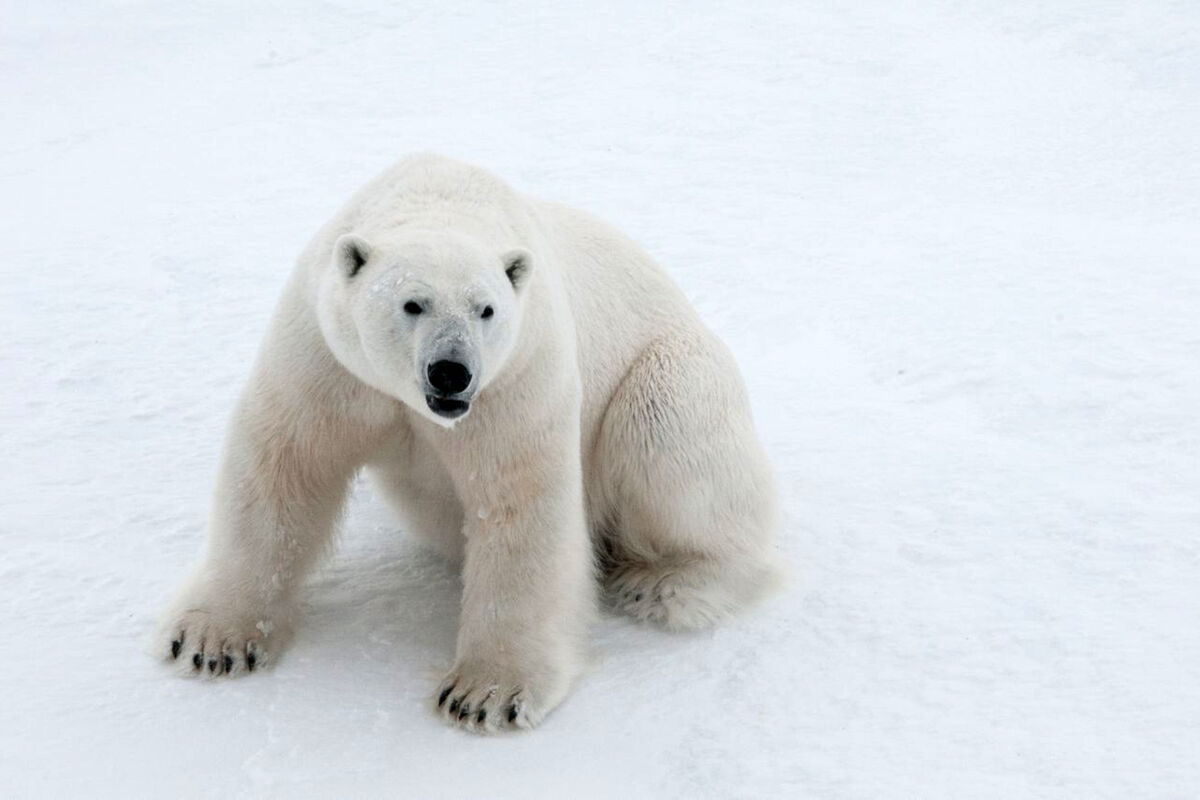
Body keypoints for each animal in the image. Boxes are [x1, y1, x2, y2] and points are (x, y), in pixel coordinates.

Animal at [156, 154, 780, 732]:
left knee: (667, 438)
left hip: (673, 372)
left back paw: (663, 585)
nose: (451, 373)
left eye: (487, 309)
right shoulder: (327, 358)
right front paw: (211, 642)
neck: (443, 197)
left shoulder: (516, 376)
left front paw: (484, 696)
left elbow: (520, 504)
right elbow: (284, 466)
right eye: (412, 303)